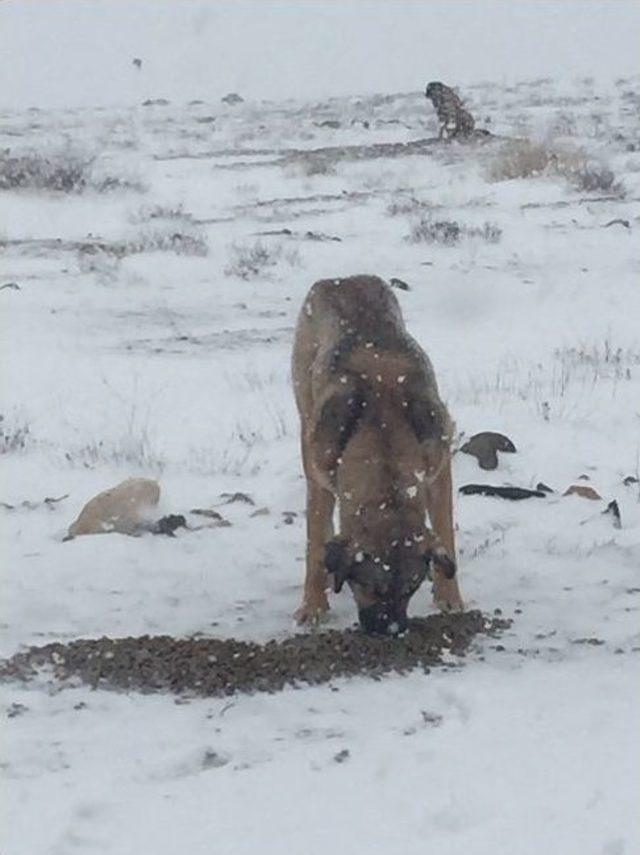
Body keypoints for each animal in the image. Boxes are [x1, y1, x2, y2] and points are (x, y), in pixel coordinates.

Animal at [292, 276, 462, 636]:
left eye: (412, 588)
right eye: (370, 587)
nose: (392, 631)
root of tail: (345, 279)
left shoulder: (438, 465)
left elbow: (445, 529)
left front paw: (449, 595)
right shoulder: (321, 473)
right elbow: (315, 542)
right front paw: (313, 605)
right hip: (305, 409)